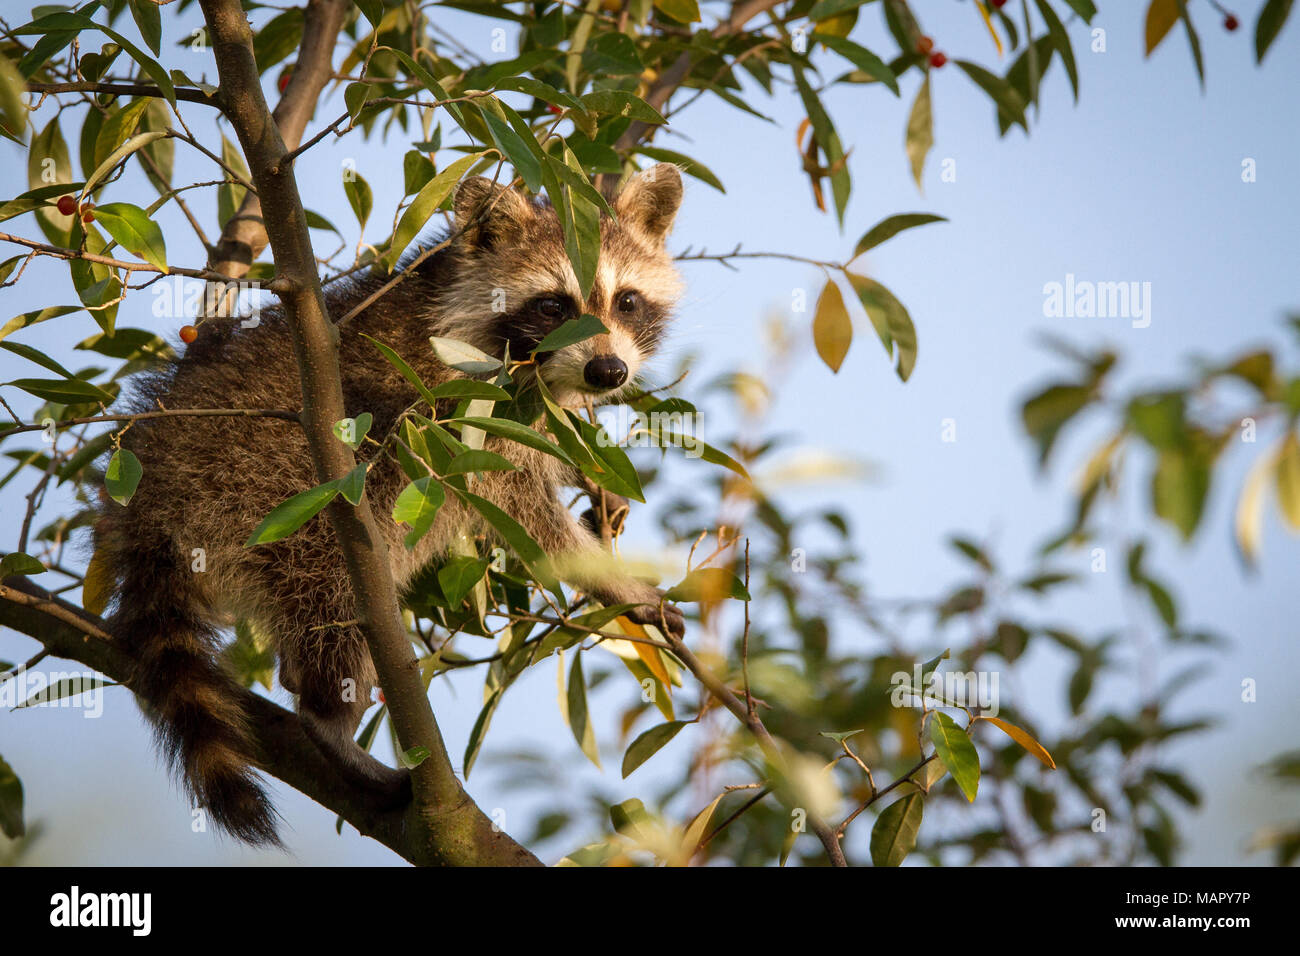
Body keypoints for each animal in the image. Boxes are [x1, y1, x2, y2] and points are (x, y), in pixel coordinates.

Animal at [93, 163, 687, 845]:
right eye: (552, 306)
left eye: (626, 301)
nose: (608, 371)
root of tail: (153, 485)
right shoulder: (462, 410)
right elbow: (524, 512)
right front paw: (613, 579)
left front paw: (601, 497)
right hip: (271, 483)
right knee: (336, 581)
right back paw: (327, 717)